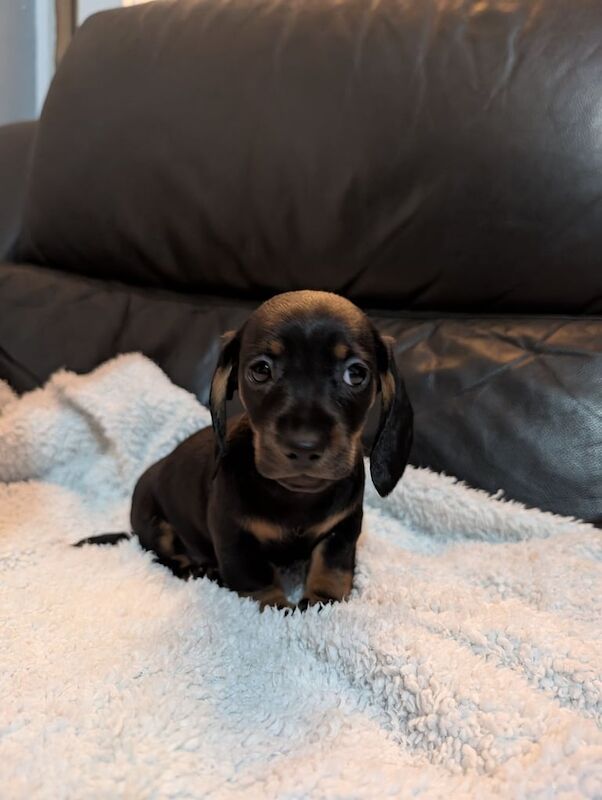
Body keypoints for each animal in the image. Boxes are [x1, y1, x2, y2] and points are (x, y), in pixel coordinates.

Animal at [76, 290, 412, 608]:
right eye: (261, 370)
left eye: (356, 373)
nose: (304, 445)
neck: (295, 498)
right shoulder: (233, 533)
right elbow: (254, 575)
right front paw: (278, 604)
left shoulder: (342, 526)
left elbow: (333, 565)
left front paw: (323, 601)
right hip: (153, 520)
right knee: (163, 555)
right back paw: (197, 568)